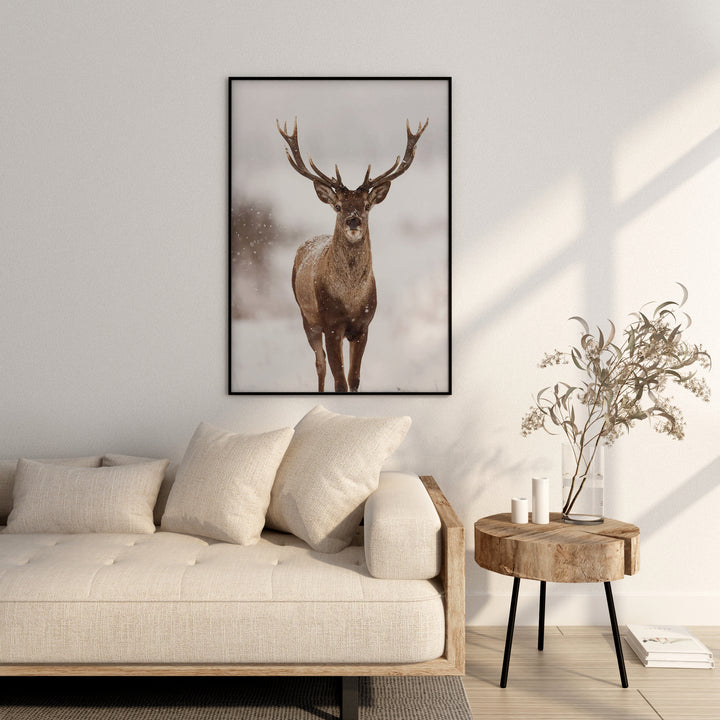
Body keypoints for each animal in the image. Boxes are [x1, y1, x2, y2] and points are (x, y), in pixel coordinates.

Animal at [277, 117, 428, 392]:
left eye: (366, 205)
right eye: (338, 206)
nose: (353, 220)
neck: (350, 299)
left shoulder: (363, 325)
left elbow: (354, 378)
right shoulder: (331, 324)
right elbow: (340, 381)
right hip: (306, 317)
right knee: (319, 363)